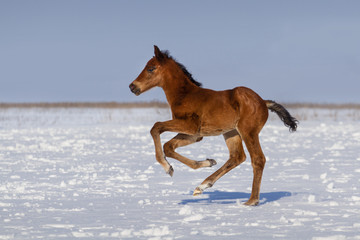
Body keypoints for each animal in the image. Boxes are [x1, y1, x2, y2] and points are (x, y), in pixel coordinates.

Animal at [129, 45, 298, 206]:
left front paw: (167, 167)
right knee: (237, 157)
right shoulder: (195, 135)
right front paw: (207, 162)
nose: (132, 87)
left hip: (248, 131)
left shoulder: (189, 126)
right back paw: (201, 186)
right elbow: (168, 147)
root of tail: (263, 102)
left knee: (258, 159)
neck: (184, 96)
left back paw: (252, 200)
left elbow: (156, 127)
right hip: (231, 133)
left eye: (151, 68)